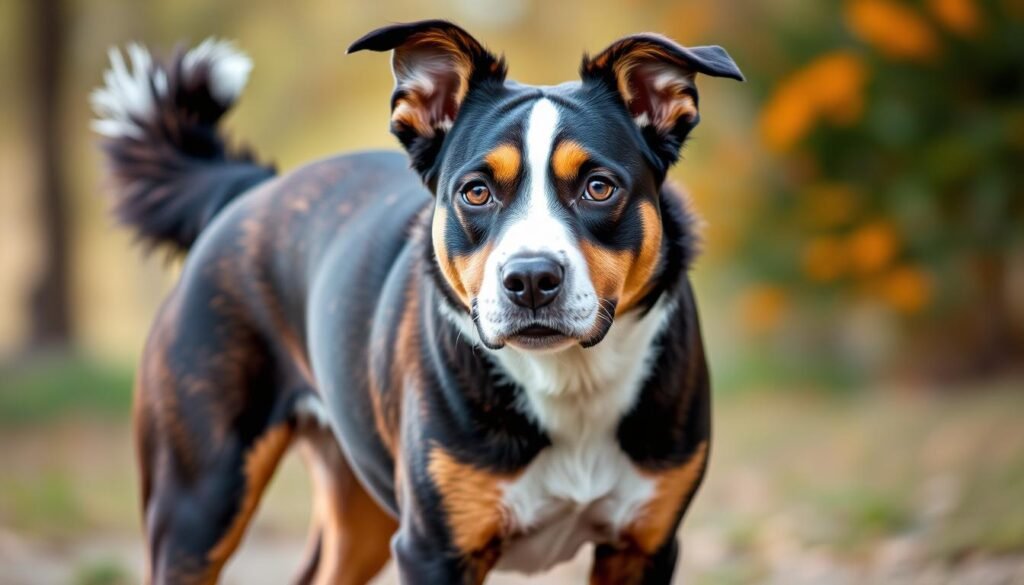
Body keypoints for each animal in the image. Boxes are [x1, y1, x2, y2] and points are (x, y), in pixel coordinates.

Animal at [90, 20, 745, 581]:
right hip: (198, 503)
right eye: (476, 191)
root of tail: (248, 189)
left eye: (598, 187)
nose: (532, 278)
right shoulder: (433, 549)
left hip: (358, 512)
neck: (569, 384)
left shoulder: (645, 545)